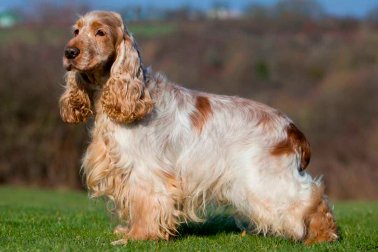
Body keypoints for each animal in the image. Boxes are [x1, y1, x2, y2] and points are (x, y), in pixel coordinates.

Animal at [59, 10, 336, 245]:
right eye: (76, 30)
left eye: (100, 32)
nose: (69, 52)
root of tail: (291, 128)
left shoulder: (145, 170)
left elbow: (147, 203)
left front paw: (139, 236)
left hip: (264, 180)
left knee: (311, 196)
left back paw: (322, 235)